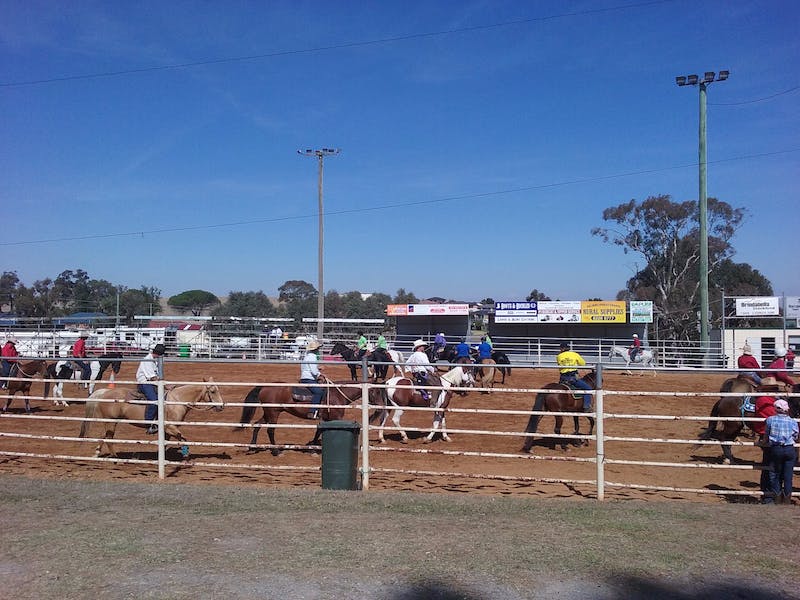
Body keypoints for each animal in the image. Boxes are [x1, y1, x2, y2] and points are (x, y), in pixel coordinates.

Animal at [77, 378, 223, 458]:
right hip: (111, 422)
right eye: (213, 391)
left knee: (104, 436)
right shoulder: (169, 427)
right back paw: (116, 458)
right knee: (109, 439)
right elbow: (182, 437)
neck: (176, 401)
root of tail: (105, 392)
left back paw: (97, 453)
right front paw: (185, 453)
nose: (221, 406)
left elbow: (166, 443)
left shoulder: (167, 431)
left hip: (111, 422)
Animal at [236, 378, 380, 458]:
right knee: (270, 431)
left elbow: (318, 431)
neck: (337, 394)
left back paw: (252, 447)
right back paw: (276, 452)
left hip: (268, 413)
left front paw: (313, 447)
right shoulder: (336, 417)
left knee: (257, 425)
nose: (379, 406)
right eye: (375, 391)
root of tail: (265, 387)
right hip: (273, 413)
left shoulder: (326, 419)